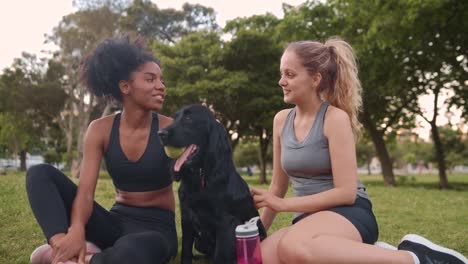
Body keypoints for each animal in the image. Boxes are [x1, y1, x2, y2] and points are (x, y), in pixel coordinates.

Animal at [158, 105, 266, 264]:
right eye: (174, 118)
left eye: (188, 118)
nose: (160, 133)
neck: (200, 178)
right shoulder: (187, 219)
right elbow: (186, 251)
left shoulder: (225, 224)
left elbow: (220, 256)